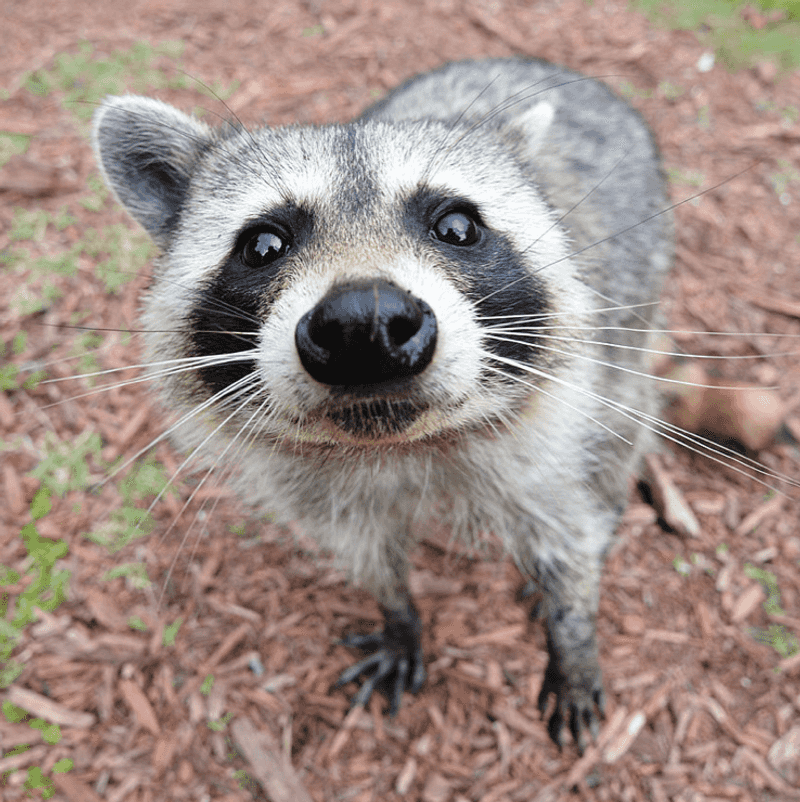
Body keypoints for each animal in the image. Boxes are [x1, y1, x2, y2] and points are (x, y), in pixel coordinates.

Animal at [91, 57, 673, 752]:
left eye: (457, 227)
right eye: (263, 245)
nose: (362, 325)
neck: (397, 444)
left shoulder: (555, 424)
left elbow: (565, 528)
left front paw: (573, 632)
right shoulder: (314, 487)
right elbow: (365, 551)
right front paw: (398, 612)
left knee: (618, 434)